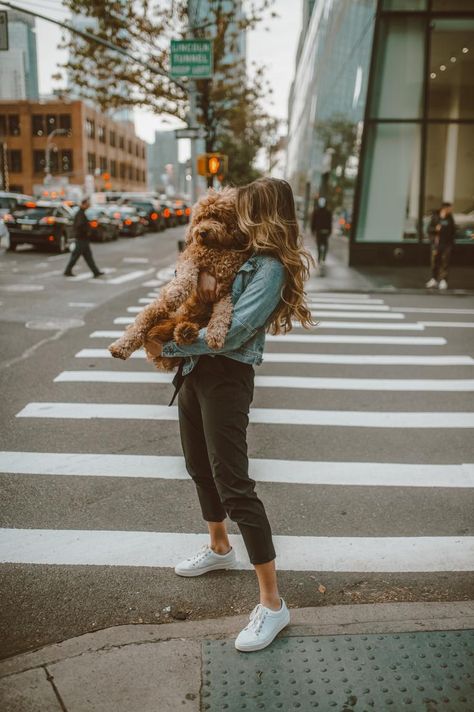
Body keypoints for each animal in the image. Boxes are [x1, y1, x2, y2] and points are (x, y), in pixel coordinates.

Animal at [106, 186, 250, 370]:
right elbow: (186, 277)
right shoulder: (190, 258)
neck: (218, 250)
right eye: (200, 218)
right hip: (157, 309)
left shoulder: (226, 289)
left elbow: (223, 311)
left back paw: (186, 331)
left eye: (216, 216)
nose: (201, 232)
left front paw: (216, 334)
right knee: (138, 326)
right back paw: (120, 347)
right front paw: (175, 294)